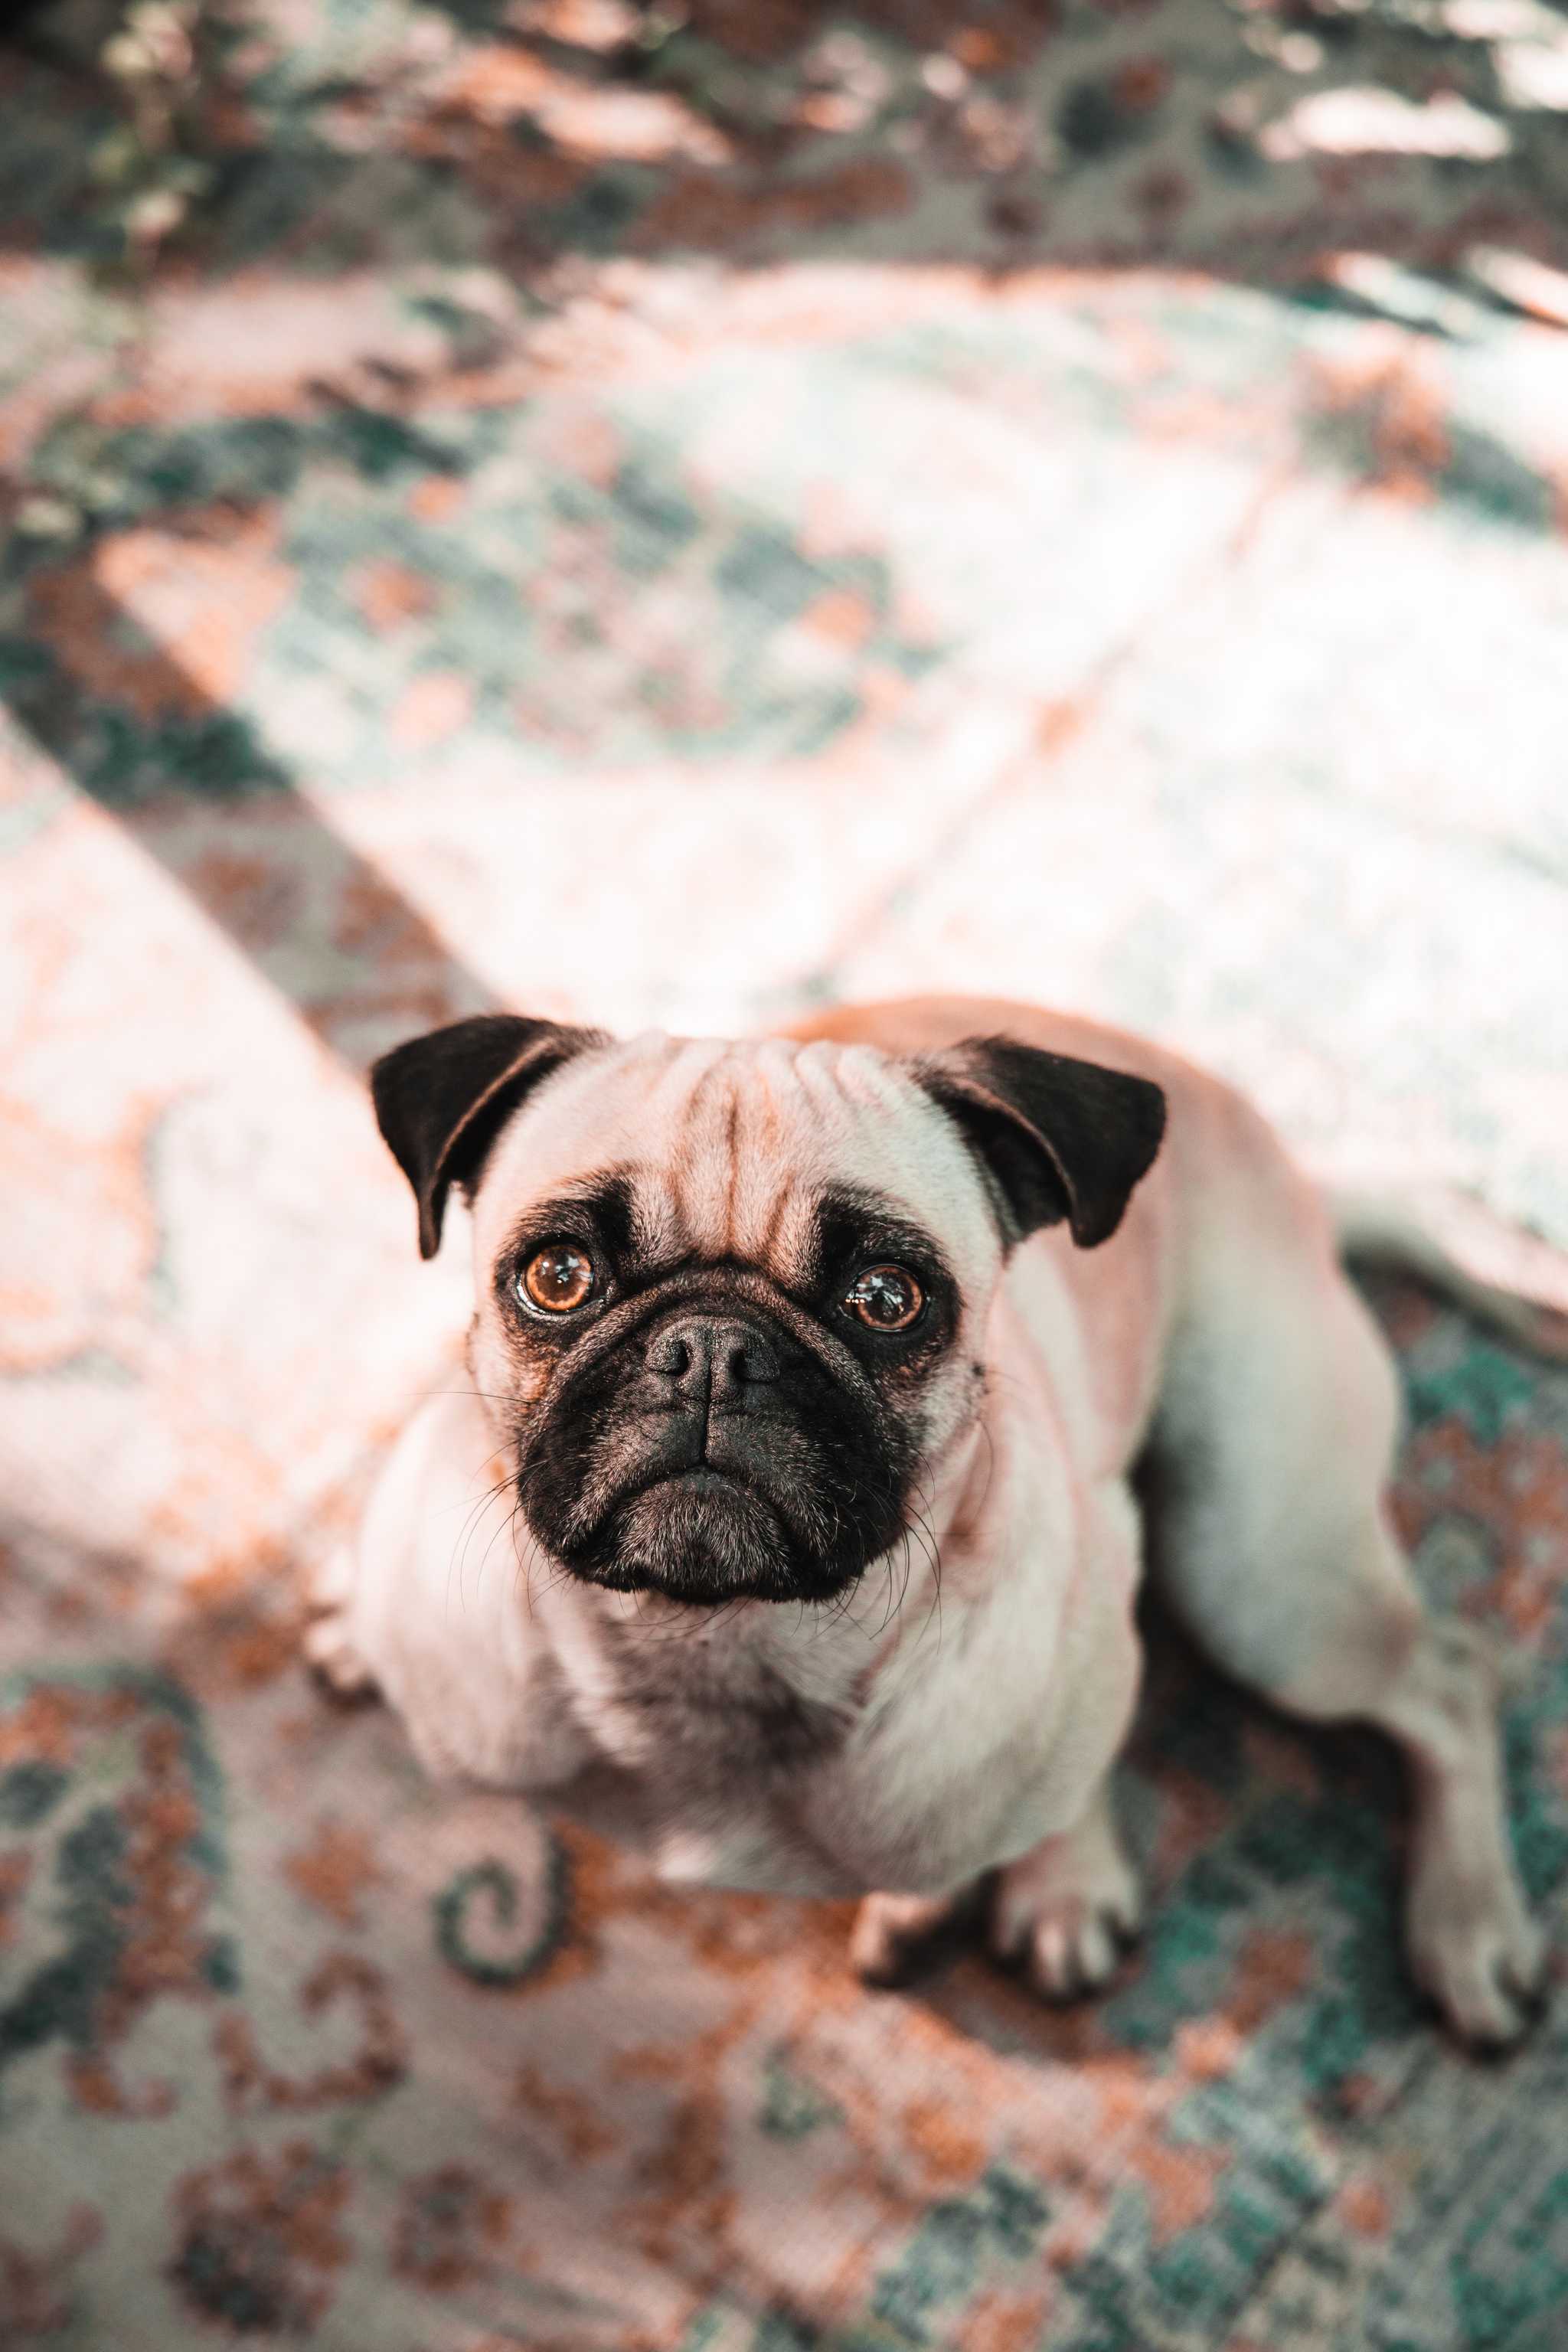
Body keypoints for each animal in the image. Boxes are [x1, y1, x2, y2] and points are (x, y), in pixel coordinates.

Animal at [312, 1001, 1551, 2050]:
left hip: (1256, 1568)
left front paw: (1038, 1877)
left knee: (1448, 1676)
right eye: (559, 1276)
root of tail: (1300, 1181)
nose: (710, 1348)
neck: (710, 1654)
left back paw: (1466, 1927)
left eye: (886, 1300)